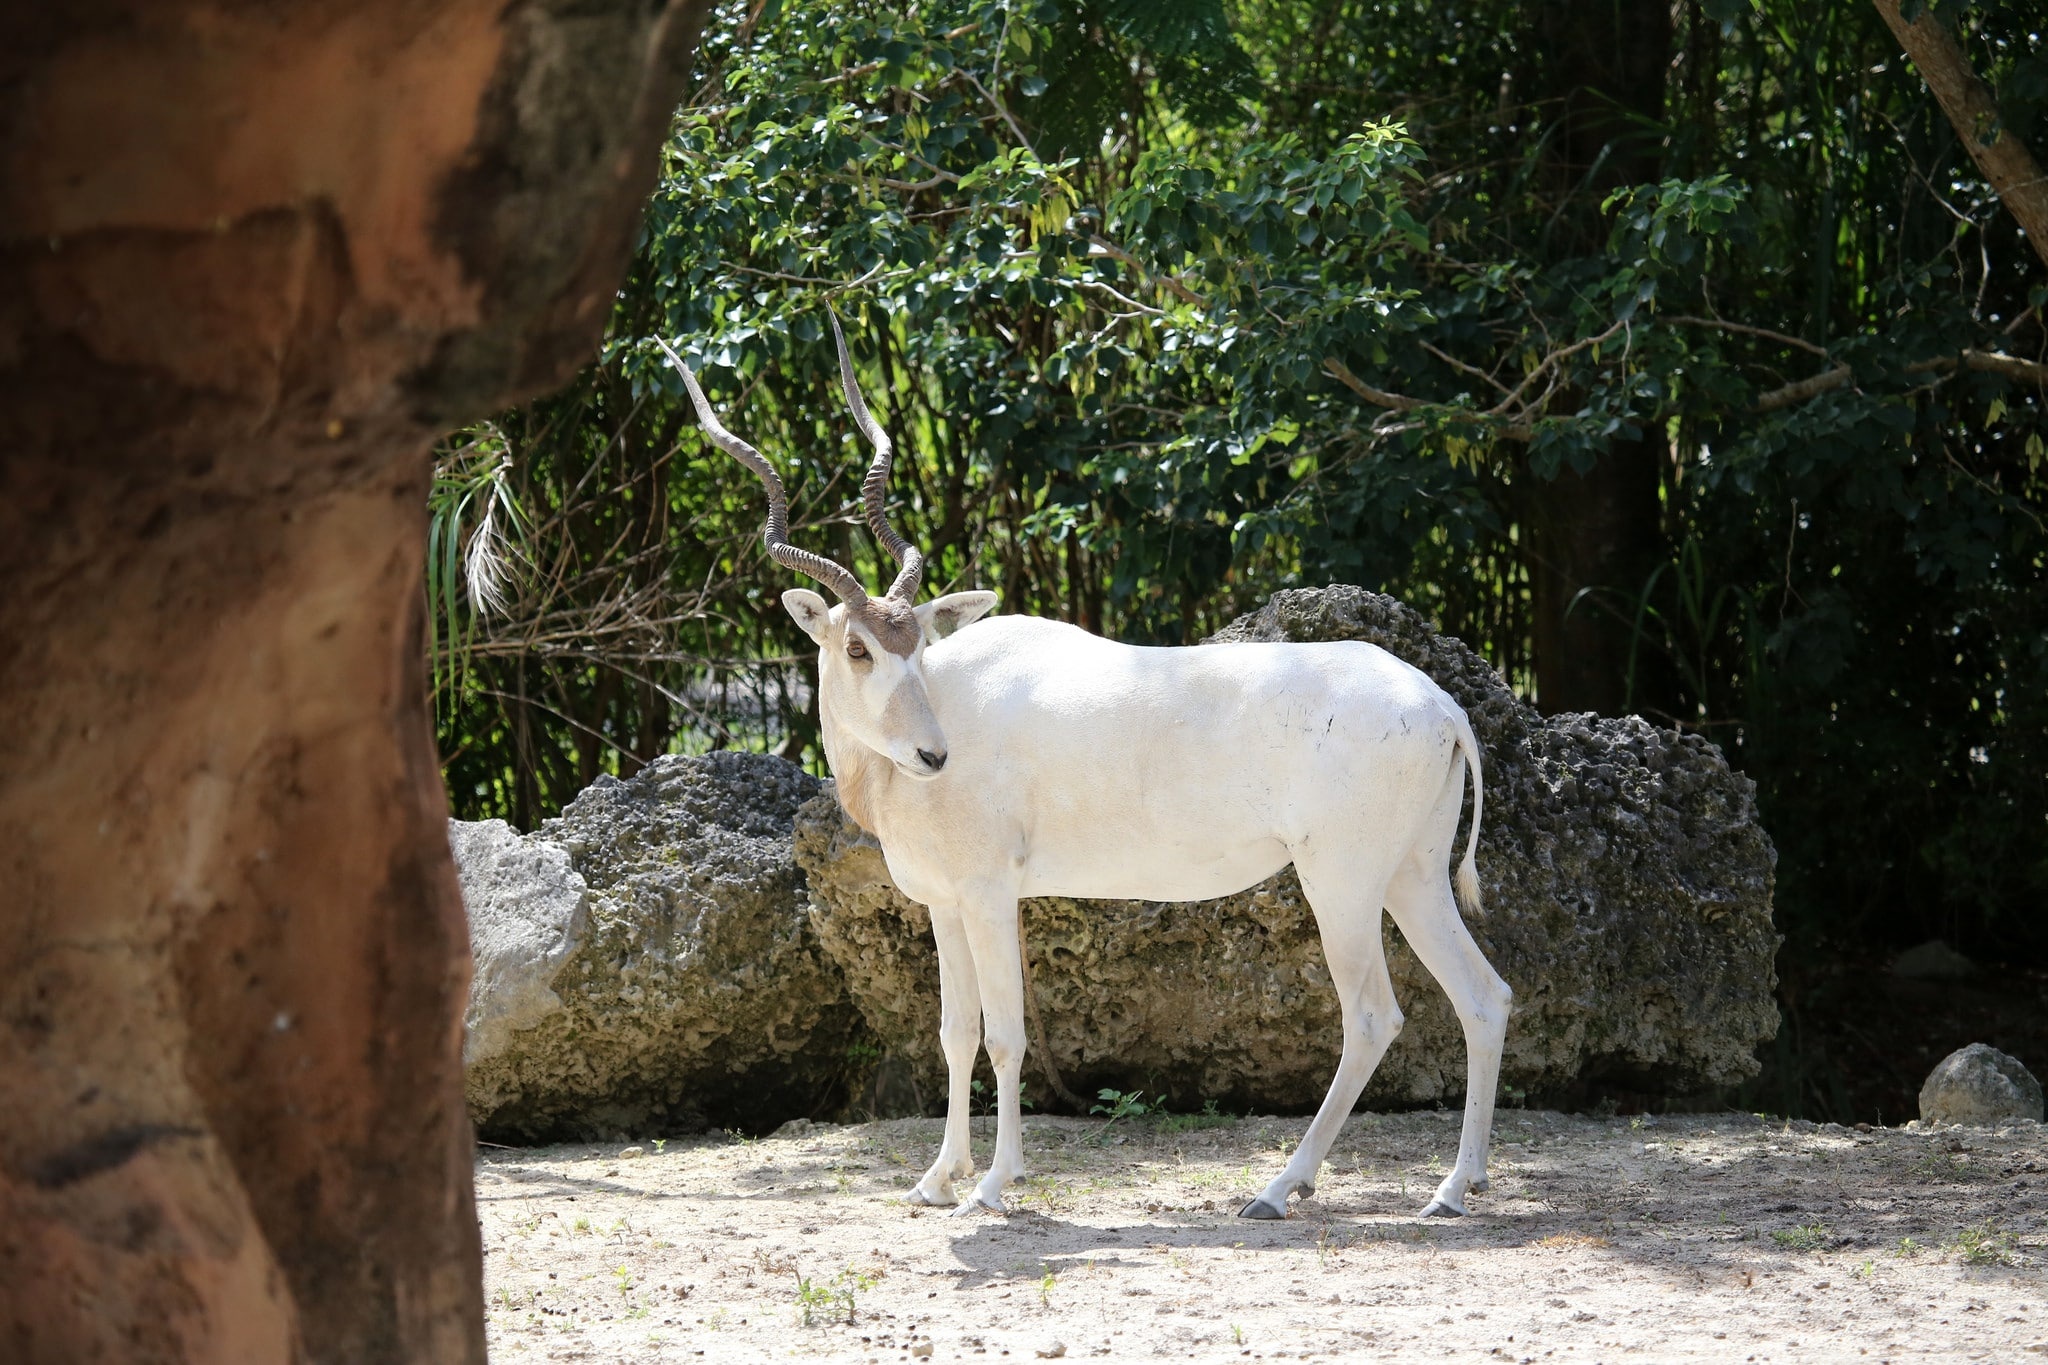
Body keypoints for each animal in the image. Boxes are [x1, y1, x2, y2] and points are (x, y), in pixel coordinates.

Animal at [663, 327, 1515, 1219]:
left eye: (914, 642)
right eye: (858, 645)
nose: (934, 755)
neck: (949, 703)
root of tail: (1442, 705)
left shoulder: (991, 897)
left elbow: (1005, 1033)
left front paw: (993, 1184)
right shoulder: (944, 905)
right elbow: (955, 1031)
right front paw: (938, 1177)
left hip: (1340, 884)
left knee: (1374, 1015)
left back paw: (1282, 1186)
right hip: (1411, 877)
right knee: (1484, 997)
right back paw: (1455, 1185)